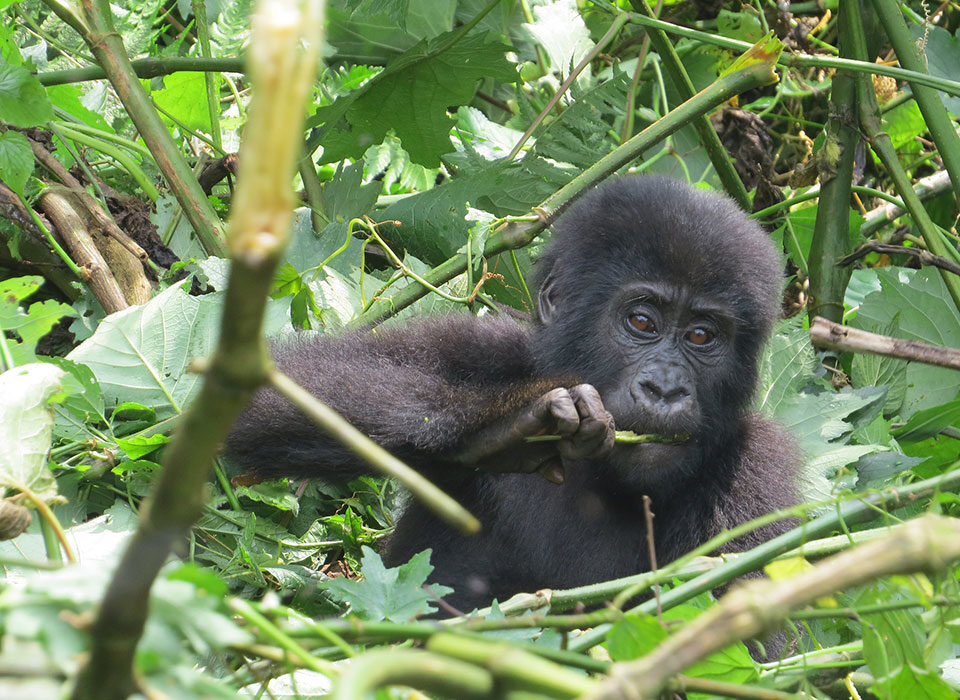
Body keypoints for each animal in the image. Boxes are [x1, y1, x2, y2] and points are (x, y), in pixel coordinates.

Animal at [225, 175, 799, 612]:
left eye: (702, 336)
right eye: (642, 321)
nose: (665, 388)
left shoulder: (758, 470)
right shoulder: (478, 342)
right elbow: (266, 396)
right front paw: (509, 425)